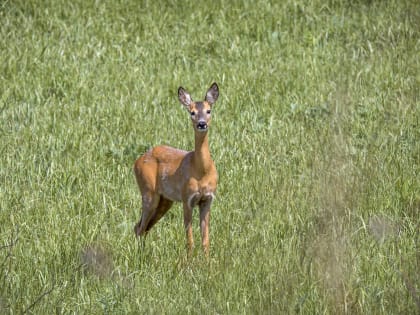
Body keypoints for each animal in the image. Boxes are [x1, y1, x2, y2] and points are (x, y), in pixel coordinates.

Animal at [134, 82, 220, 256]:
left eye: (209, 110)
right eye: (192, 112)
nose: (202, 124)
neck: (201, 171)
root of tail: (137, 161)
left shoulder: (207, 199)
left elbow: (205, 240)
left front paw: (207, 261)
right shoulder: (187, 198)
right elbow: (190, 240)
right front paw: (189, 260)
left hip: (165, 200)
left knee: (142, 227)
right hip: (148, 192)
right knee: (139, 228)